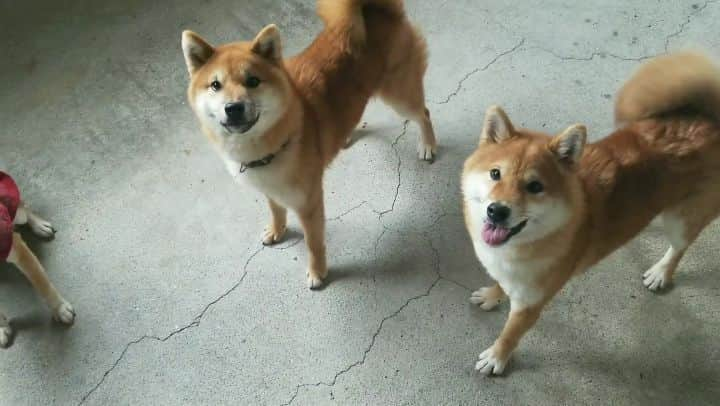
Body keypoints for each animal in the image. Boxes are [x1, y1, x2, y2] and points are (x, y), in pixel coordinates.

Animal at [0, 173, 74, 348]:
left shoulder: (17, 251)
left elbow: (43, 284)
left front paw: (60, 309)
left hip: (17, 213)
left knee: (23, 206)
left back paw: (39, 225)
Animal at [183, 0, 436, 288]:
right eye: (215, 85)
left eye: (253, 81)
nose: (233, 108)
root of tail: (379, 12)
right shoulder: (271, 190)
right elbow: (276, 211)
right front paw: (277, 230)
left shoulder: (308, 203)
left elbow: (313, 243)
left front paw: (317, 272)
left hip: (399, 95)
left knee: (424, 114)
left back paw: (428, 144)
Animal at [462, 52, 720, 376]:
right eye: (495, 173)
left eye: (535, 187)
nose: (496, 211)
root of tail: (709, 119)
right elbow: (499, 283)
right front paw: (491, 295)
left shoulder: (530, 304)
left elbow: (510, 334)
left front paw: (497, 358)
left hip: (682, 219)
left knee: (679, 247)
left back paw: (661, 272)